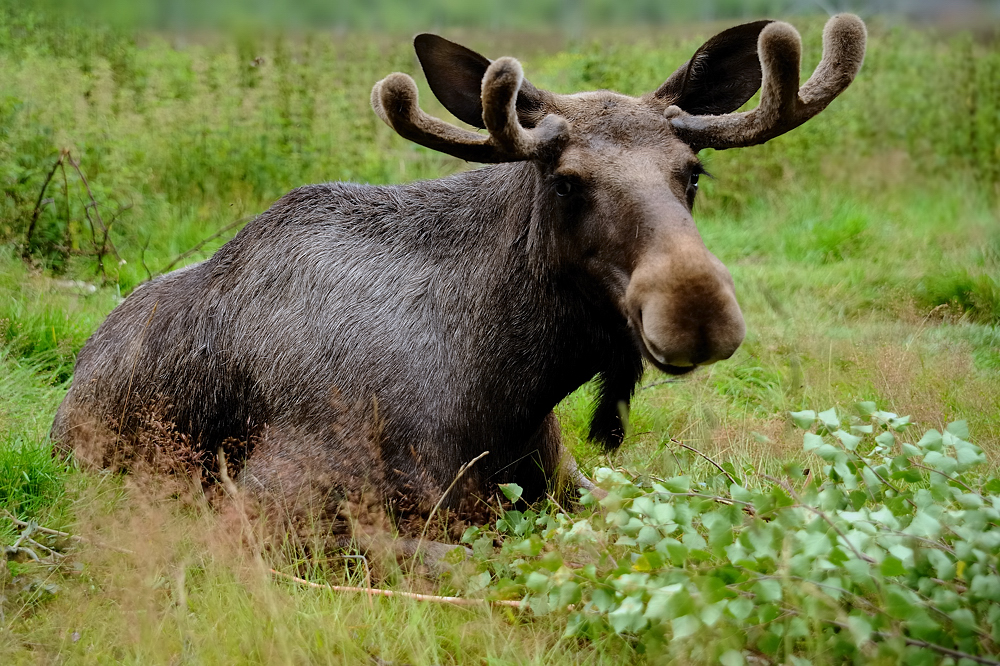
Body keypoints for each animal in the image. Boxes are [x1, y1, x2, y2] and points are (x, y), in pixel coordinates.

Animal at [50, 16, 868, 528]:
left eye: (692, 172)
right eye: (565, 182)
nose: (696, 309)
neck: (506, 388)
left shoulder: (568, 480)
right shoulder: (273, 498)